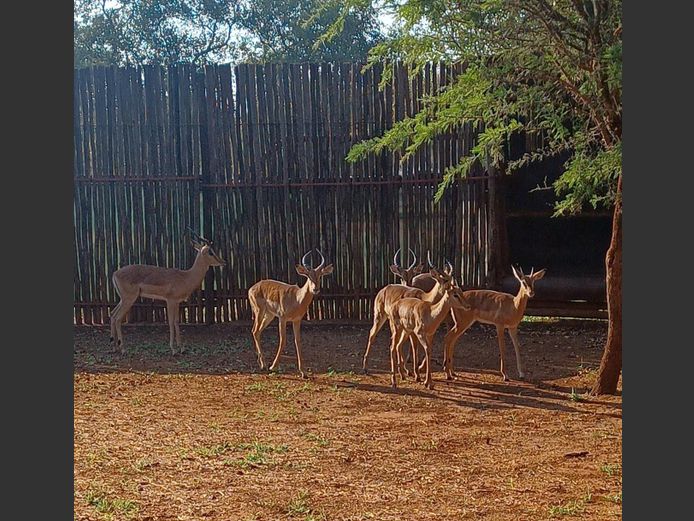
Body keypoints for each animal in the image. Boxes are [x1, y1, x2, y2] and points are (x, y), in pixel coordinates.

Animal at [249, 249, 336, 378]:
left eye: (320, 275)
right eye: (308, 275)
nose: (315, 289)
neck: (297, 299)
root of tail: (252, 288)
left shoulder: (296, 320)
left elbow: (298, 341)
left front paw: (303, 372)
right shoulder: (282, 319)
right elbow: (283, 340)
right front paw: (273, 366)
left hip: (269, 316)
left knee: (257, 331)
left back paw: (260, 363)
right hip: (259, 312)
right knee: (255, 331)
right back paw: (264, 365)